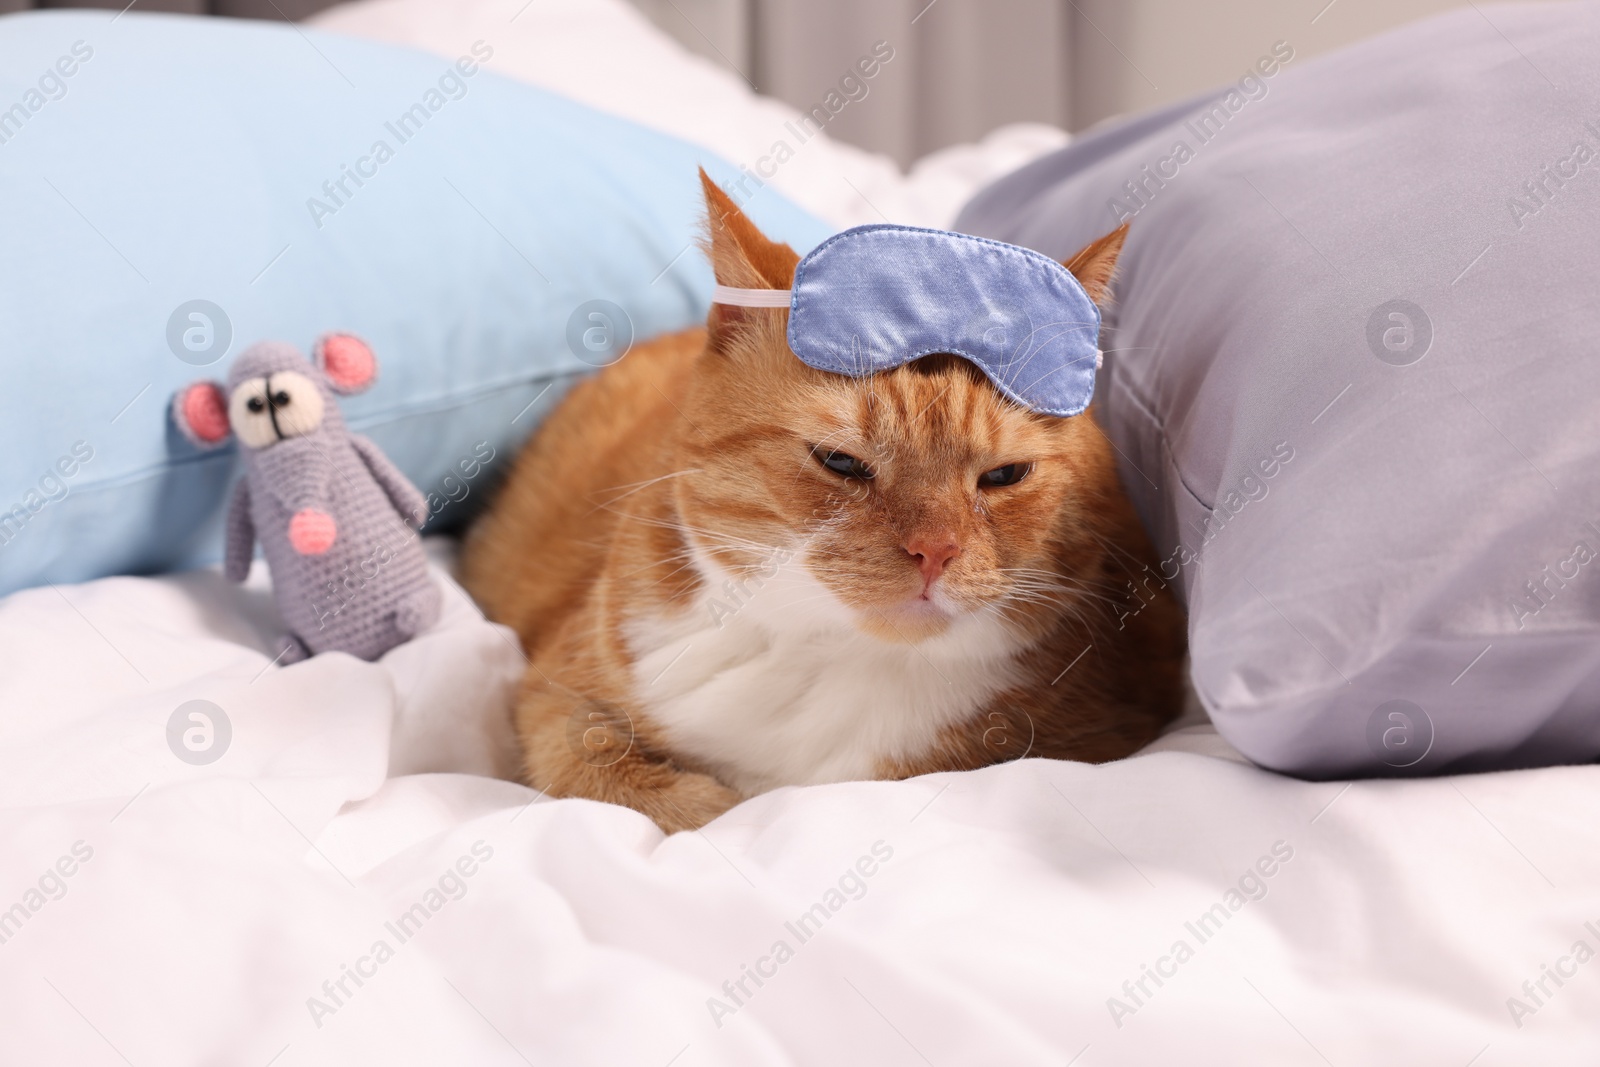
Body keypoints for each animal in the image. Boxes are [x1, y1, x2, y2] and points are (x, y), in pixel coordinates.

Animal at [464, 173, 1190, 831]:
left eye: (1005, 474)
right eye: (841, 462)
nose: (936, 551)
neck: (828, 659)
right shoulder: (556, 692)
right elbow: (603, 771)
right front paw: (705, 802)